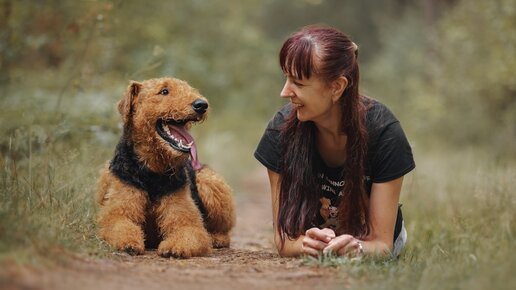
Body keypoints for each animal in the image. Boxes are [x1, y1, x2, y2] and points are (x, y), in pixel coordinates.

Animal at [95, 77, 236, 258]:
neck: (153, 170)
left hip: (209, 182)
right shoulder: (118, 213)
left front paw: (175, 247)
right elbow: (119, 225)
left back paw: (216, 238)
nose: (202, 105)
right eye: (164, 91)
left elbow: (189, 232)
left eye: (189, 88)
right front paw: (129, 244)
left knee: (223, 230)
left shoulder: (185, 221)